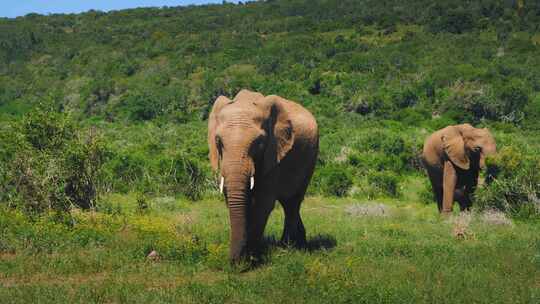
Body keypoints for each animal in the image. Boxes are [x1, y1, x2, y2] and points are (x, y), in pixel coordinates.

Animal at [206, 88, 316, 262]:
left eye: (259, 143)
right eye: (218, 141)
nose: (233, 262)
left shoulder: (274, 152)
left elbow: (263, 203)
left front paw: (251, 259)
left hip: (310, 159)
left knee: (293, 202)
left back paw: (288, 247)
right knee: (288, 202)